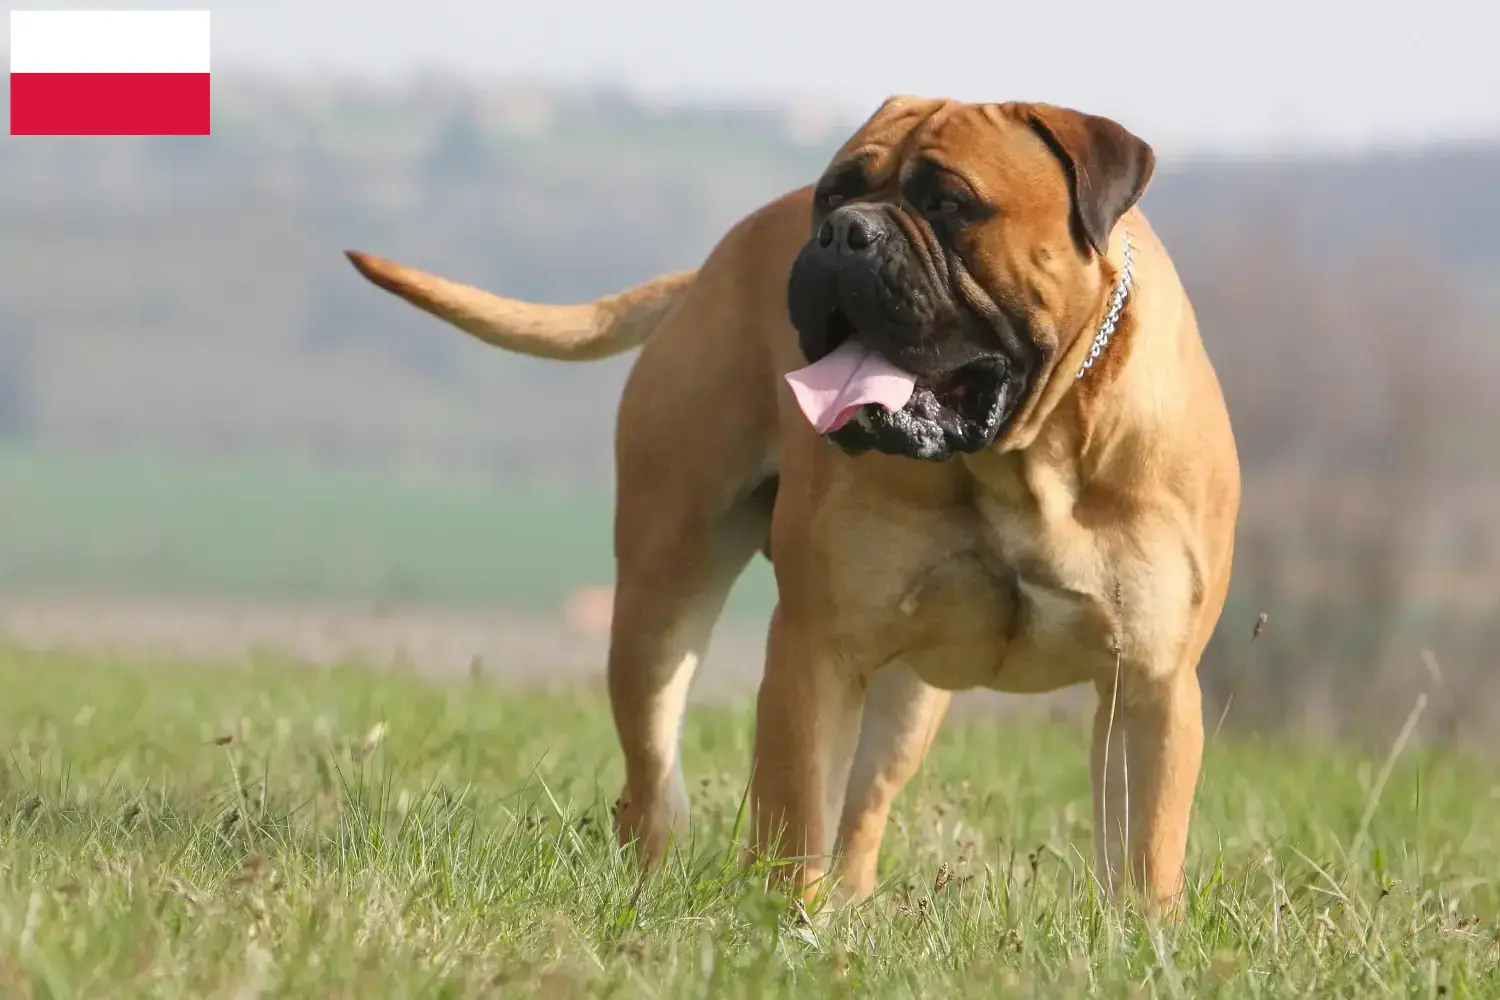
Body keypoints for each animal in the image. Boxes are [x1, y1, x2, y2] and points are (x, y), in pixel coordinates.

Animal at [345, 95, 1236, 917]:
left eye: (950, 202)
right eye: (833, 192)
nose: (844, 233)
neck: (1018, 458)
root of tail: (704, 272)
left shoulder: (1151, 685)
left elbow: (1145, 850)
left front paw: (1140, 941)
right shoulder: (816, 649)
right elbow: (795, 811)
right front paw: (785, 924)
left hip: (908, 695)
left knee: (864, 810)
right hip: (662, 597)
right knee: (655, 776)